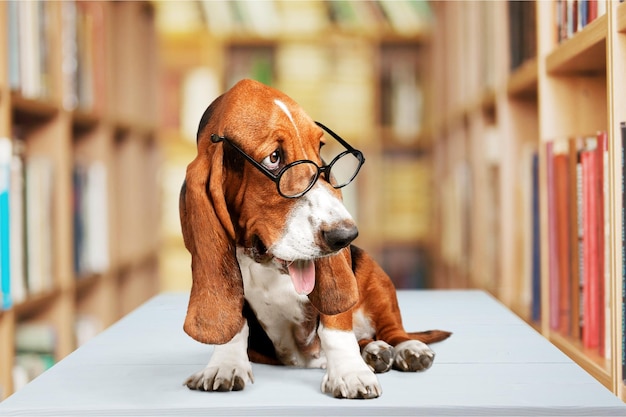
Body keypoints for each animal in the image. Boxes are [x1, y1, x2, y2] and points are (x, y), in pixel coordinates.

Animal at [179, 79, 448, 398]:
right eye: (274, 158)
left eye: (320, 148)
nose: (346, 236)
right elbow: (236, 326)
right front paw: (225, 364)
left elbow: (335, 327)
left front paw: (350, 372)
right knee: (366, 339)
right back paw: (373, 352)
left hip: (375, 276)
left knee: (392, 330)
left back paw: (405, 349)